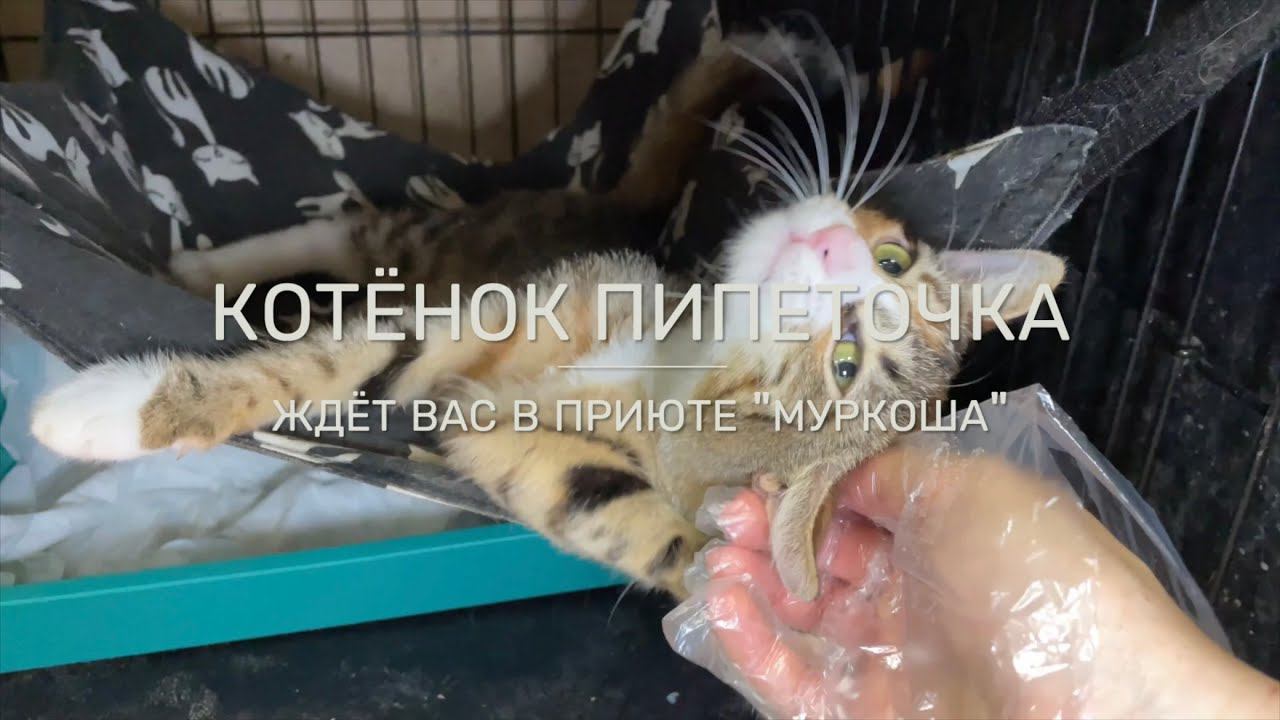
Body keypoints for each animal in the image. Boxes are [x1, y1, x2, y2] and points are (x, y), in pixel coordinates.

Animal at [30, 31, 1065, 600]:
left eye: (840, 369)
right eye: (890, 264)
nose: (834, 256)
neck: (658, 355)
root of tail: (617, 204)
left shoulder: (536, 454)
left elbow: (619, 518)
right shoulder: (488, 311)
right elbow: (325, 360)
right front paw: (105, 412)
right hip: (472, 237)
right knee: (353, 229)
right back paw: (200, 262)